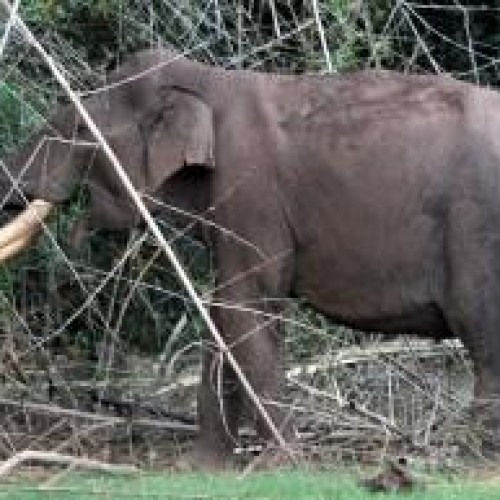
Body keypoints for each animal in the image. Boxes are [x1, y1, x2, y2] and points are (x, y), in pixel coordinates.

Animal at [0, 48, 500, 466]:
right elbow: (222, 313)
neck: (208, 80)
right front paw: (201, 468)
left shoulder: (250, 192)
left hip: (474, 228)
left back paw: (468, 453)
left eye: (81, 131)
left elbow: (247, 307)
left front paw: (281, 462)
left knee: (481, 328)